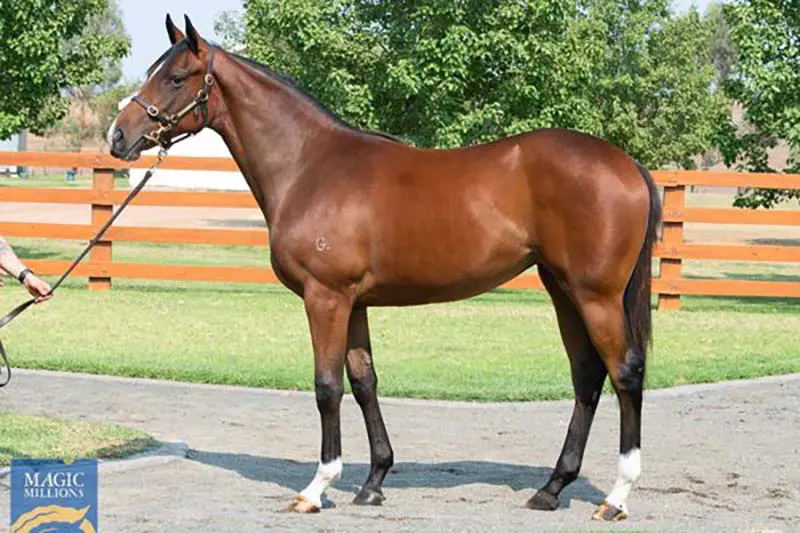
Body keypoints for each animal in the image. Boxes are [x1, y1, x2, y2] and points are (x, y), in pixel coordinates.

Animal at [109, 15, 661, 522]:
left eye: (177, 77)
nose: (118, 136)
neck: (309, 166)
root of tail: (628, 166)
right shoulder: (354, 302)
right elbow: (364, 382)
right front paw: (373, 482)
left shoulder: (326, 297)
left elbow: (326, 386)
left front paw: (317, 488)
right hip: (561, 288)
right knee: (587, 375)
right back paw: (551, 488)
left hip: (595, 295)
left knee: (625, 372)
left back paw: (615, 498)